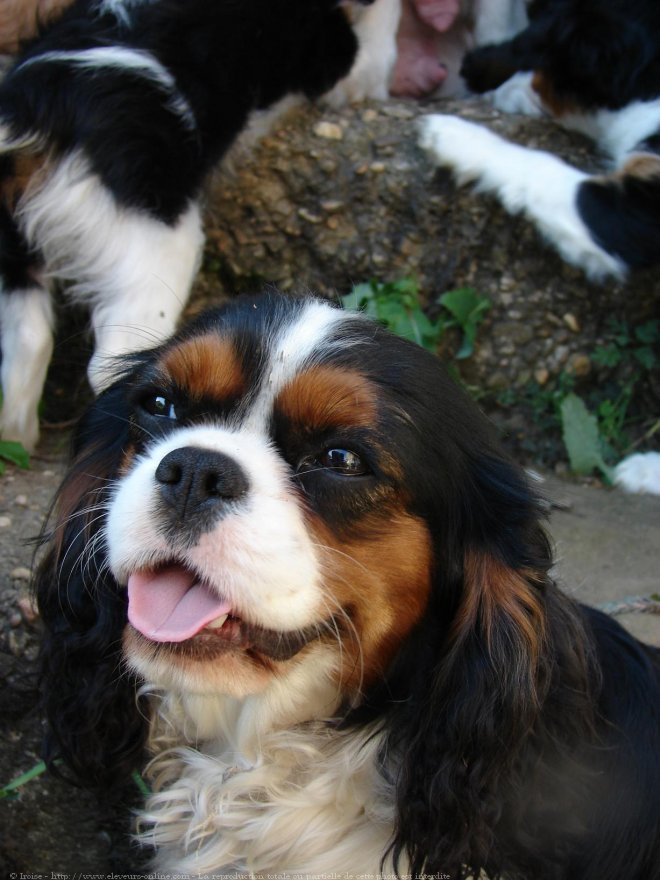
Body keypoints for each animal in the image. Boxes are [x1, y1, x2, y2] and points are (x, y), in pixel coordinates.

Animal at [0, 0, 376, 454]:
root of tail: (43, 112)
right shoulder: (327, 48)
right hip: (156, 244)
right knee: (115, 360)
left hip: (14, 249)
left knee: (28, 337)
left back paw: (16, 437)